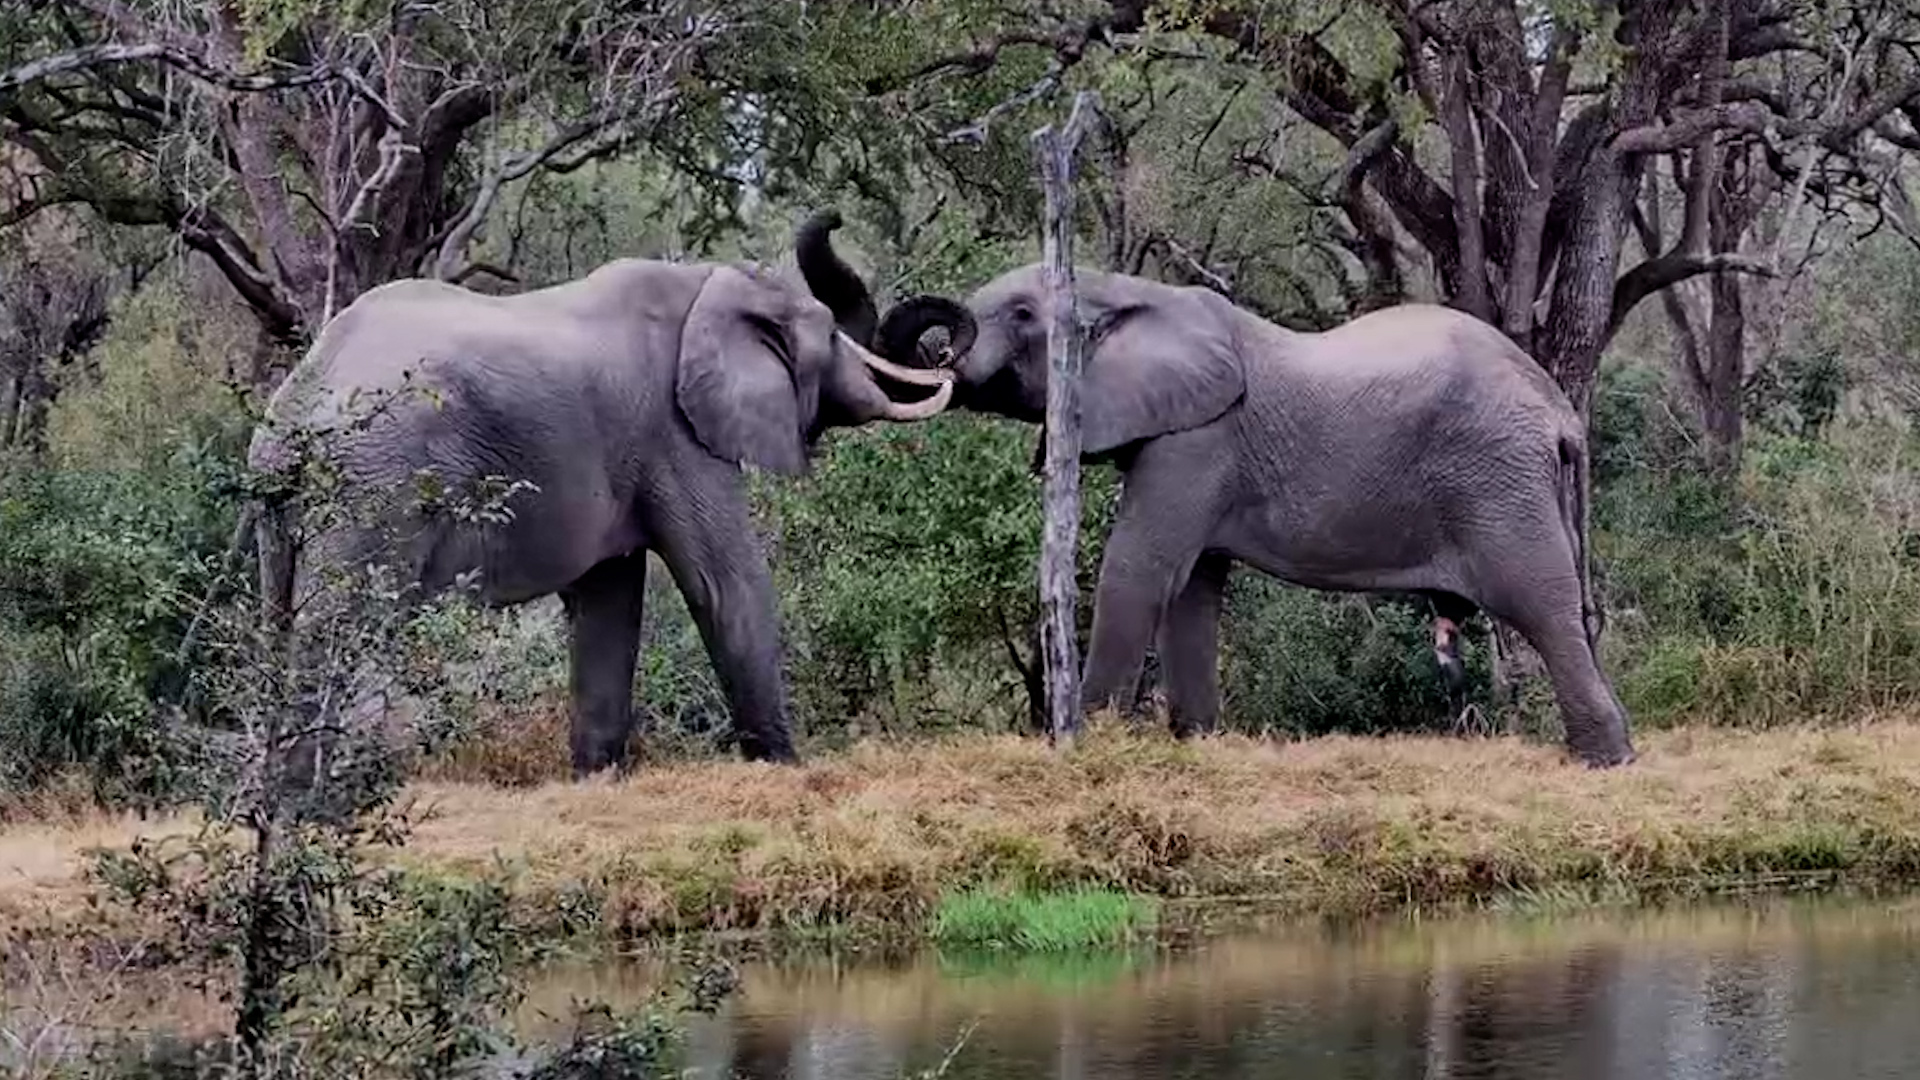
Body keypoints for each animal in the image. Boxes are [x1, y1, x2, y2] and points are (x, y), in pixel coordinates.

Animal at [244, 220, 973, 776]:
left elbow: (609, 602)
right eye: (828, 334)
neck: (710, 284)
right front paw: (786, 769)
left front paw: (597, 777)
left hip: (293, 511)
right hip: (377, 486)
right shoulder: (674, 434)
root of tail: (294, 409)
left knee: (283, 625)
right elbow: (724, 583)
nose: (942, 355)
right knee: (340, 632)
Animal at [804, 236, 1635, 767]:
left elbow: (1139, 567)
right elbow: (1192, 589)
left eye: (1022, 317)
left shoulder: (1196, 440)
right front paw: (1197, 744)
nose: (944, 348)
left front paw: (1086, 745)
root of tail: (1560, 413)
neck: (1128, 290)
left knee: (1541, 602)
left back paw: (1606, 761)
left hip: (1498, 481)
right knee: (1567, 611)